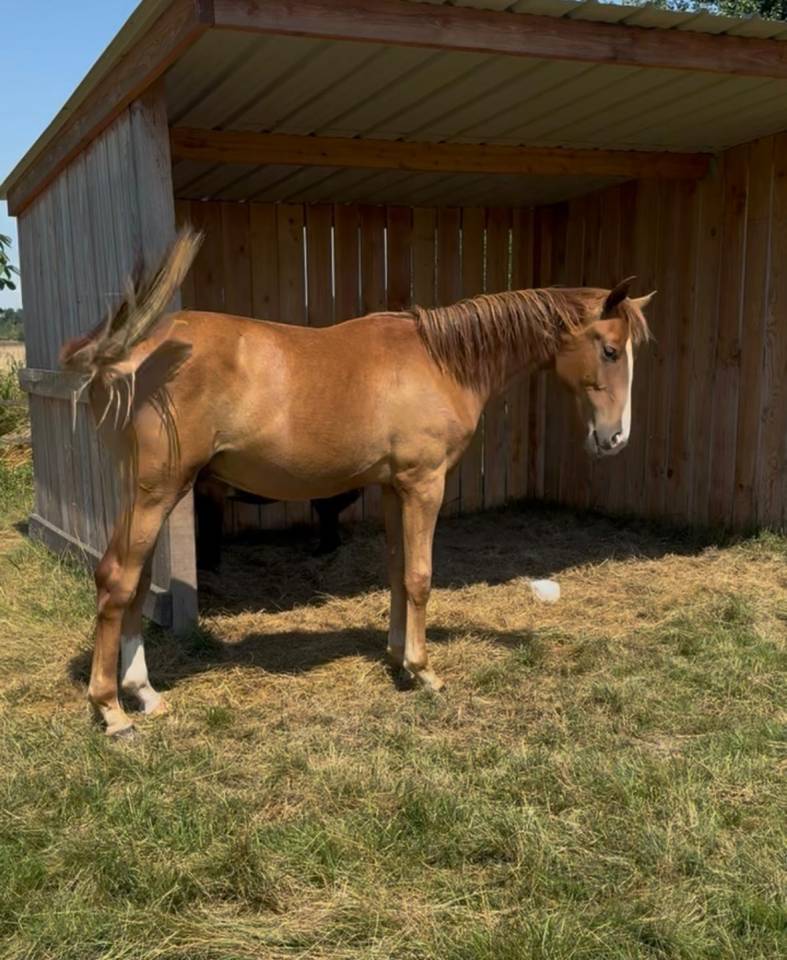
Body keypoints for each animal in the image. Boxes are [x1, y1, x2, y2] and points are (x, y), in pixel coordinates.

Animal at [60, 229, 653, 737]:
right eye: (609, 350)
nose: (616, 437)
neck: (441, 361)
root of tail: (132, 352)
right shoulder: (424, 485)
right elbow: (420, 577)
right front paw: (424, 670)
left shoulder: (393, 488)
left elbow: (396, 573)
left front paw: (397, 657)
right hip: (156, 493)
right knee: (116, 581)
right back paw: (112, 710)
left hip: (154, 495)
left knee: (134, 587)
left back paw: (144, 693)